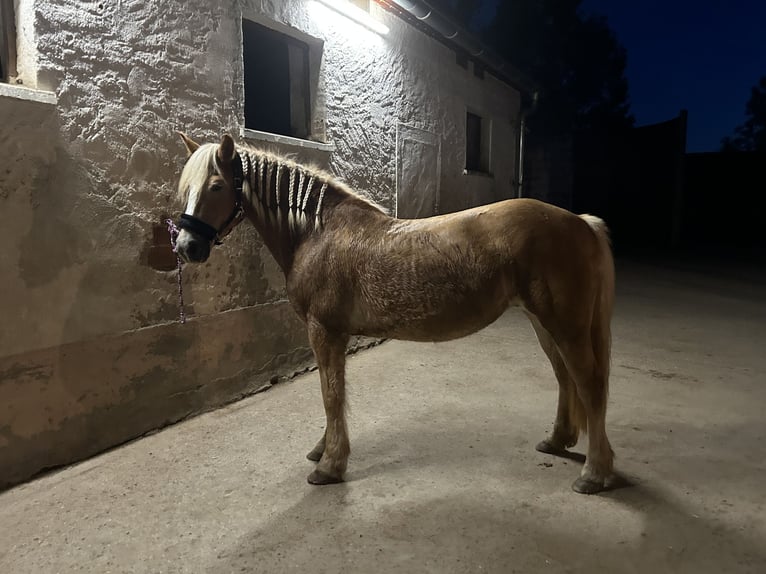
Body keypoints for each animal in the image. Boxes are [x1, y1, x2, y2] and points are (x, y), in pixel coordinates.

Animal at [174, 134, 616, 496]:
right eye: (187, 189)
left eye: (216, 186)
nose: (187, 246)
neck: (317, 233)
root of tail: (582, 223)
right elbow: (331, 393)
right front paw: (323, 450)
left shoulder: (325, 331)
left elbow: (331, 394)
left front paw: (330, 466)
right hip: (545, 324)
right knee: (565, 378)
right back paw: (557, 442)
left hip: (565, 325)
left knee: (590, 384)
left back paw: (594, 474)